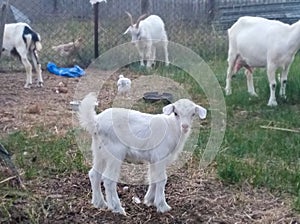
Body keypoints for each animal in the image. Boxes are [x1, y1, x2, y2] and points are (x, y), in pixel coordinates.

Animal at [78, 92, 207, 214]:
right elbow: (162, 179)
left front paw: (149, 200)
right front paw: (163, 206)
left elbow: (153, 177)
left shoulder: (154, 159)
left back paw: (99, 203)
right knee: (109, 179)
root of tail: (96, 122)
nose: (185, 126)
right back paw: (117, 208)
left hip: (99, 151)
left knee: (94, 174)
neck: (172, 128)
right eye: (176, 113)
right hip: (115, 152)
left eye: (193, 114)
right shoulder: (160, 156)